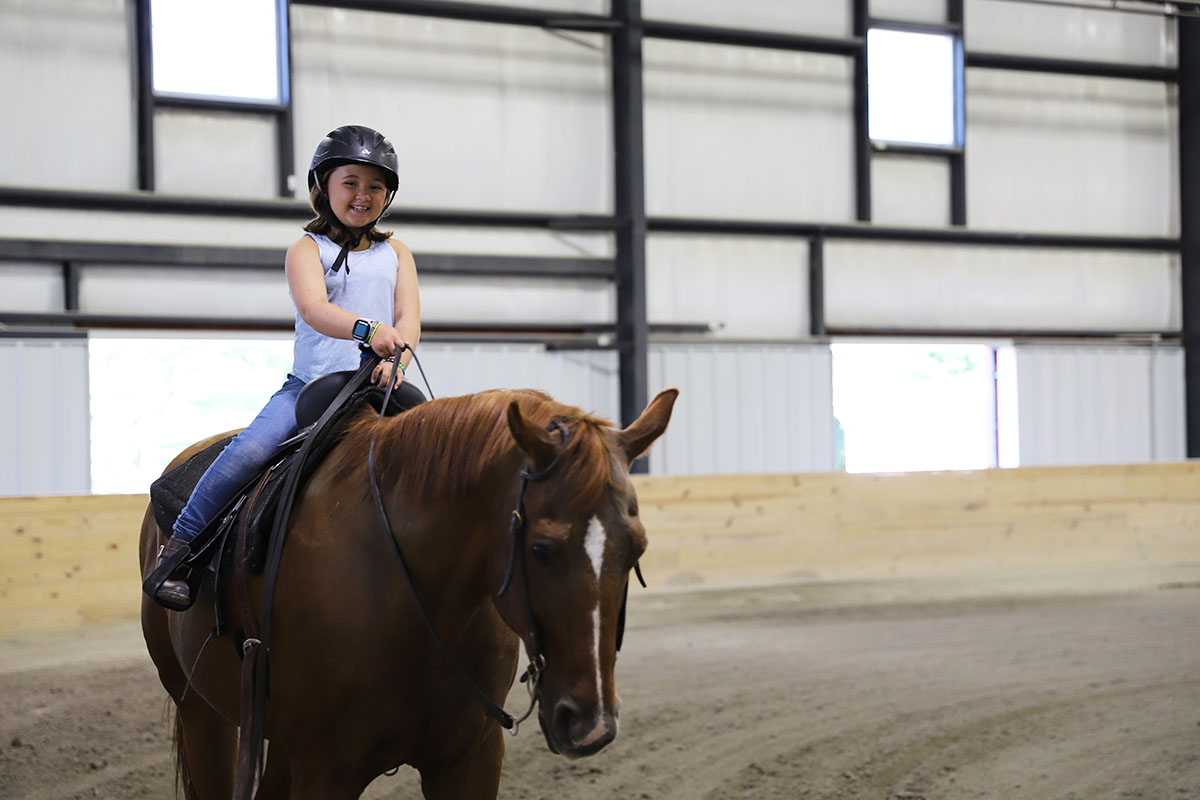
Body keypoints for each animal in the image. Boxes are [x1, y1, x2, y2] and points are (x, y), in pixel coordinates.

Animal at [140, 383, 676, 796]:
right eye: (542, 549)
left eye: (637, 548)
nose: (590, 725)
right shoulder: (326, 768)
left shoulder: (471, 760)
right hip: (201, 712)